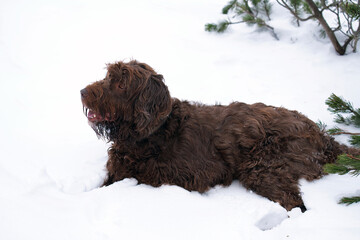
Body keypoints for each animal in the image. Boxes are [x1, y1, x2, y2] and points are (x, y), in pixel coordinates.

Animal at [81, 60, 354, 212]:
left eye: (121, 84)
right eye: (107, 76)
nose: (82, 91)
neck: (152, 132)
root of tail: (324, 138)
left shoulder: (181, 174)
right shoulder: (117, 171)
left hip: (262, 166)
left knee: (296, 202)